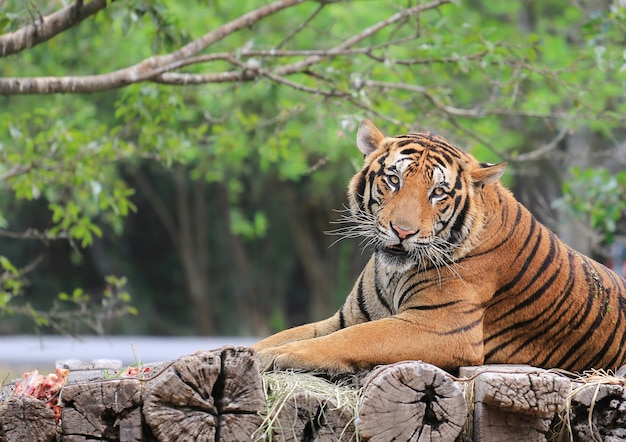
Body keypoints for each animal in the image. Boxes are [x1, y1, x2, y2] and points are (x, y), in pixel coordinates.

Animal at [249, 120, 624, 372]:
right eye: (393, 180)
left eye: (438, 193)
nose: (402, 231)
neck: (392, 273)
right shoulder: (348, 317)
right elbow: (285, 334)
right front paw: (251, 352)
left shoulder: (439, 326)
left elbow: (352, 339)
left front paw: (281, 356)